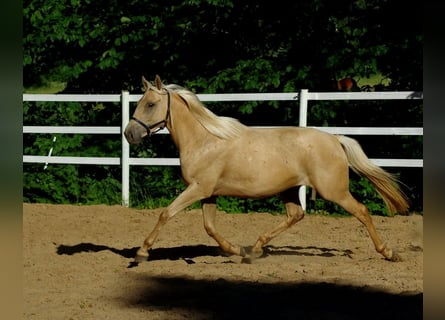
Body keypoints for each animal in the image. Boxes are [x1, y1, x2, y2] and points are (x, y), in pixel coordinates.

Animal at [123, 74, 408, 262]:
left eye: (150, 104)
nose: (129, 134)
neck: (204, 141)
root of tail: (335, 139)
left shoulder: (198, 189)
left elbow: (166, 214)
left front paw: (142, 252)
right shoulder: (209, 193)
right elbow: (210, 227)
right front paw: (237, 250)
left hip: (333, 191)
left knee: (362, 211)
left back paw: (388, 252)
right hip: (290, 189)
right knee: (296, 215)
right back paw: (255, 249)